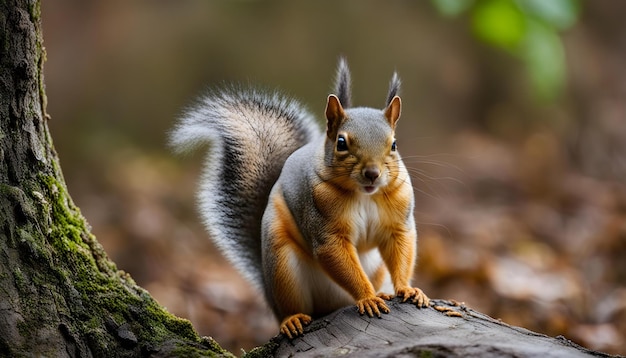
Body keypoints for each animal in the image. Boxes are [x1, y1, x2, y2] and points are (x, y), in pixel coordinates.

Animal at [171, 58, 428, 338]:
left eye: (394, 144)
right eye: (341, 143)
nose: (372, 173)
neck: (365, 195)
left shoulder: (398, 220)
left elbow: (401, 247)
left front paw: (407, 288)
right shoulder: (323, 222)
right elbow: (332, 250)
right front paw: (367, 298)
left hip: (375, 269)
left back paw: (382, 292)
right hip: (282, 266)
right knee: (291, 305)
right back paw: (292, 320)